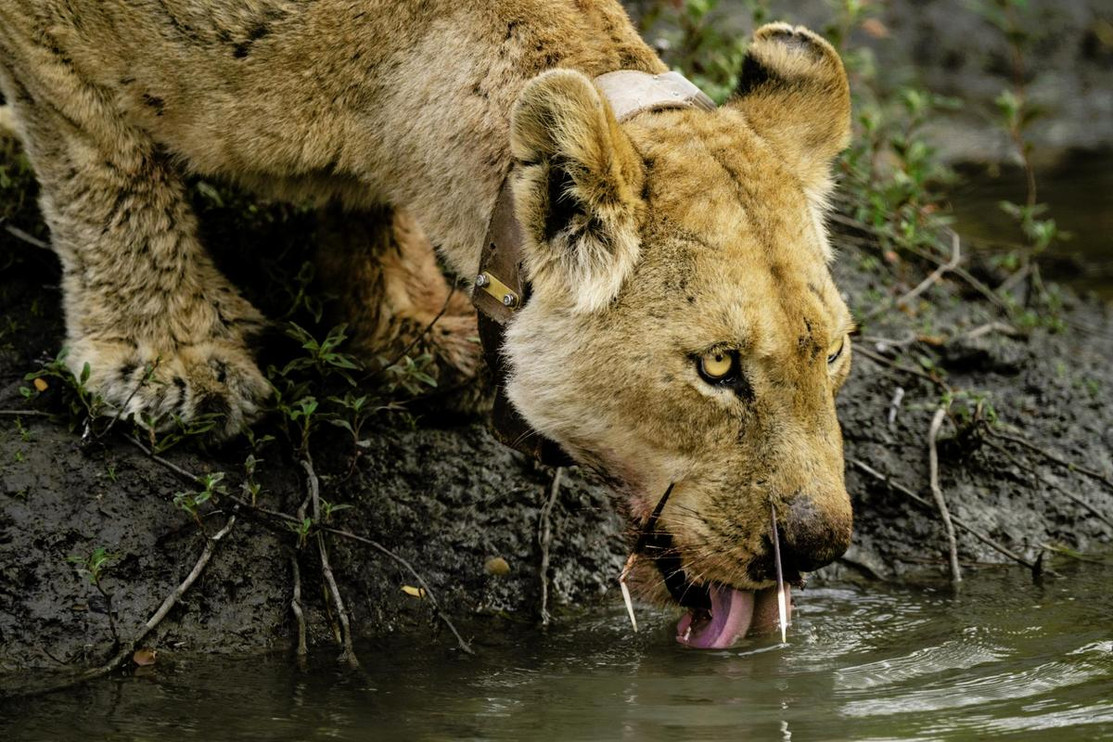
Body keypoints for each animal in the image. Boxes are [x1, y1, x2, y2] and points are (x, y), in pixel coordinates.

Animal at [0, 1, 854, 648]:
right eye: (717, 367)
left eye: (834, 351)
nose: (818, 548)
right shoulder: (56, 41)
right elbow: (105, 162)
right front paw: (168, 360)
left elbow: (362, 213)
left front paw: (405, 327)